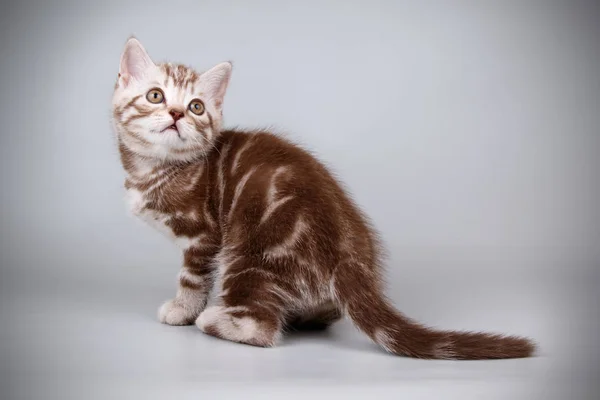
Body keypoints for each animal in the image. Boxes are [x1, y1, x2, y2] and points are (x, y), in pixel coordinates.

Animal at [111, 38, 536, 360]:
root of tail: (349, 258)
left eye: (197, 106)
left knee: (261, 328)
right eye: (155, 96)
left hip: (250, 255)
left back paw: (216, 320)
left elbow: (191, 278)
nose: (177, 113)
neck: (157, 166)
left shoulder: (203, 235)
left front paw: (183, 310)